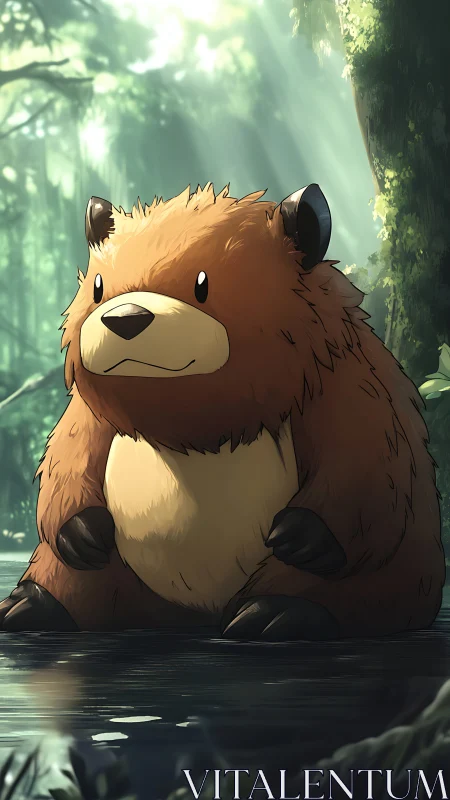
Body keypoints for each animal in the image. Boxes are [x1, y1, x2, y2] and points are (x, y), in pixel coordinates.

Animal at [0, 181, 444, 640]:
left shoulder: (348, 376)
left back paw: (277, 613)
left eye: (203, 284)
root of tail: (192, 616)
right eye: (98, 287)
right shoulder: (90, 412)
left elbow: (370, 460)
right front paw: (82, 531)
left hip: (400, 572)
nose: (124, 318)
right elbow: (68, 454)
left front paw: (301, 535)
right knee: (79, 576)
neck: (196, 429)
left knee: (342, 589)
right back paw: (32, 604)